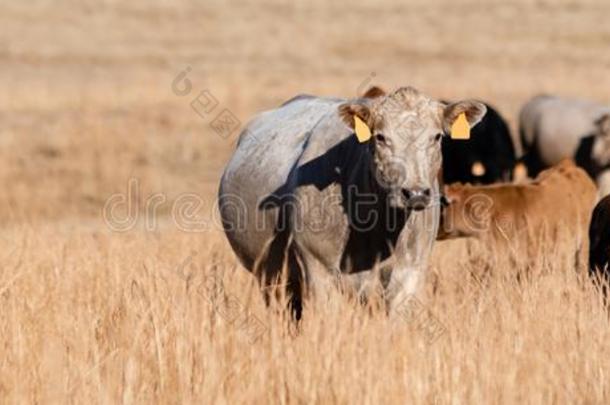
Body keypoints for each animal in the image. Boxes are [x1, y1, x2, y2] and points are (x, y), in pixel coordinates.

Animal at [218, 87, 484, 318]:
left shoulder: (409, 275)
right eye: (380, 137)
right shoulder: (319, 271)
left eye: (436, 136)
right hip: (271, 278)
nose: (416, 193)